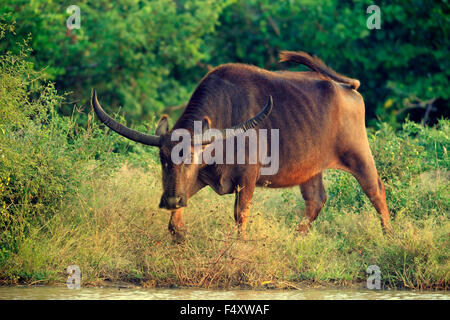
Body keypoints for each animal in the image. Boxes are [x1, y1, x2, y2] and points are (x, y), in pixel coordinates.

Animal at [91, 50, 390, 241]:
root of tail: (348, 89)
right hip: (310, 168)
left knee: (376, 190)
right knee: (316, 200)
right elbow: (175, 225)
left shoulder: (246, 179)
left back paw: (388, 235)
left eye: (190, 158)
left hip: (359, 155)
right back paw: (295, 239)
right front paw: (180, 235)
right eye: (163, 159)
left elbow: (240, 218)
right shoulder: (200, 179)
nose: (171, 199)